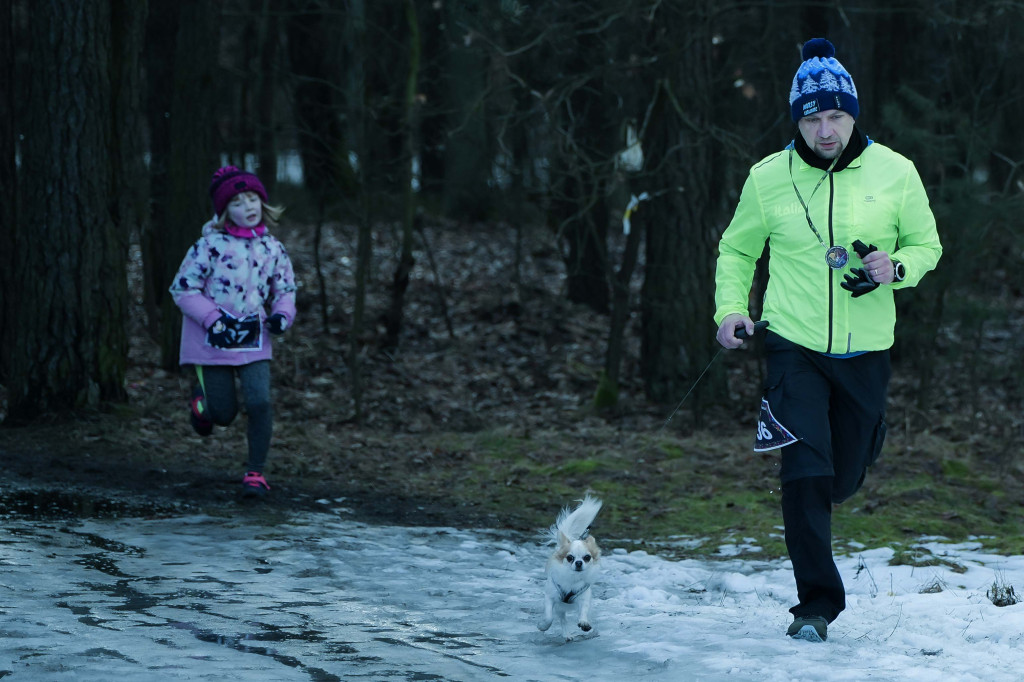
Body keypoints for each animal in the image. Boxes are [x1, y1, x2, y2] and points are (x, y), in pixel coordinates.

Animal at [536, 493, 598, 638]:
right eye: (570, 558)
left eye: (587, 557)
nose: (579, 562)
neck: (572, 578)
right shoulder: (550, 596)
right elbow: (549, 617)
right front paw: (543, 626)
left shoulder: (583, 597)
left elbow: (583, 611)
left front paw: (584, 623)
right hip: (559, 605)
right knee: (562, 617)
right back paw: (566, 634)